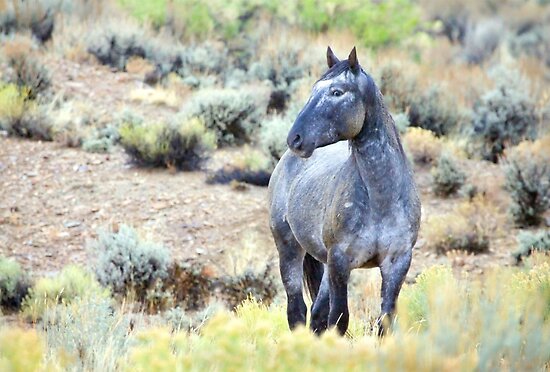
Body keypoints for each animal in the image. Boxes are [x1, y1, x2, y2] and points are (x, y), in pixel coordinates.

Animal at [268, 46, 422, 338]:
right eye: (314, 89)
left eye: (337, 92)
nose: (295, 138)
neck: (380, 199)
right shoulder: (340, 262)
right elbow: (339, 319)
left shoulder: (397, 262)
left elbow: (384, 321)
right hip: (289, 247)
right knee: (297, 310)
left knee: (316, 314)